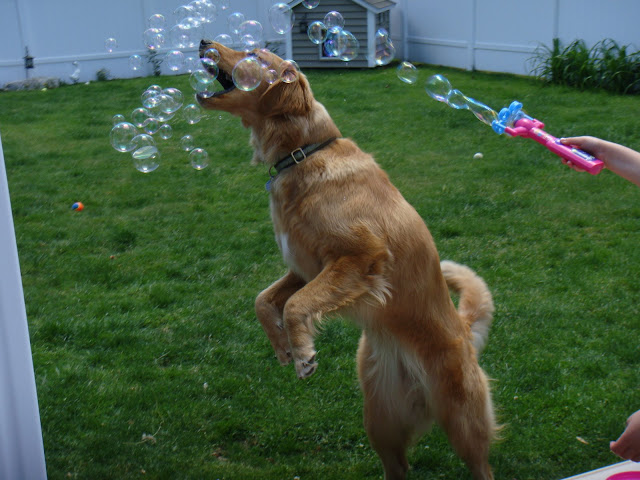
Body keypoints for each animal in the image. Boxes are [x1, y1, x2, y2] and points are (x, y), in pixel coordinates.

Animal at [198, 41, 498, 480]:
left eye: (254, 53)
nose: (204, 42)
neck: (302, 153)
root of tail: (461, 327)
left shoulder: (360, 256)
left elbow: (295, 304)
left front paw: (302, 355)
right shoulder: (304, 267)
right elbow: (264, 299)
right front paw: (283, 349)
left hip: (462, 421)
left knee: (481, 464)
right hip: (381, 422)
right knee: (397, 465)